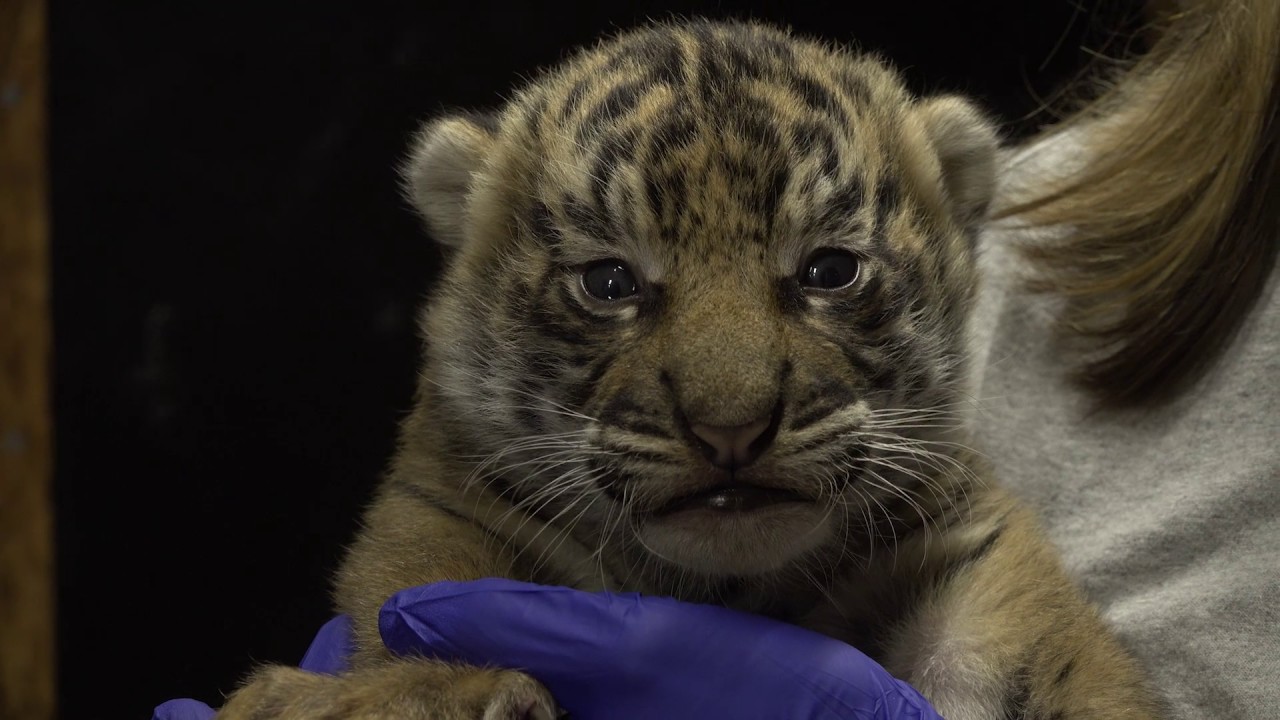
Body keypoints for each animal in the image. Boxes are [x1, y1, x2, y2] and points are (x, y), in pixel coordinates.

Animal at [218, 19, 1160, 720]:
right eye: (610, 282)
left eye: (828, 270)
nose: (730, 429)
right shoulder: (439, 515)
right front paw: (430, 692)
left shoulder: (972, 548)